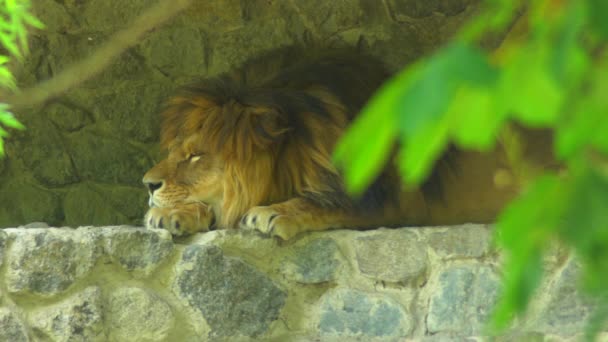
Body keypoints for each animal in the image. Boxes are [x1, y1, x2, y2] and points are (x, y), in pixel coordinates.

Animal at [141, 47, 552, 240]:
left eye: (196, 156)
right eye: (175, 152)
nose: (147, 184)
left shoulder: (391, 202)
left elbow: (325, 203)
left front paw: (275, 212)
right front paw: (172, 213)